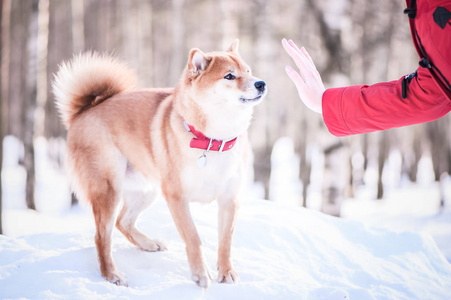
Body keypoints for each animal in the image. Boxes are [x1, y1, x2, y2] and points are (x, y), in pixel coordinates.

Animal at [53, 40, 266, 288]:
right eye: (229, 76)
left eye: (248, 71)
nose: (261, 84)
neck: (214, 139)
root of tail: (84, 111)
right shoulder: (176, 197)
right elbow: (193, 237)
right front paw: (200, 274)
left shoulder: (229, 199)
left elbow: (226, 240)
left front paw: (226, 271)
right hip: (108, 189)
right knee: (102, 236)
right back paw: (111, 274)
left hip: (146, 190)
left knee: (123, 222)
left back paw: (147, 244)